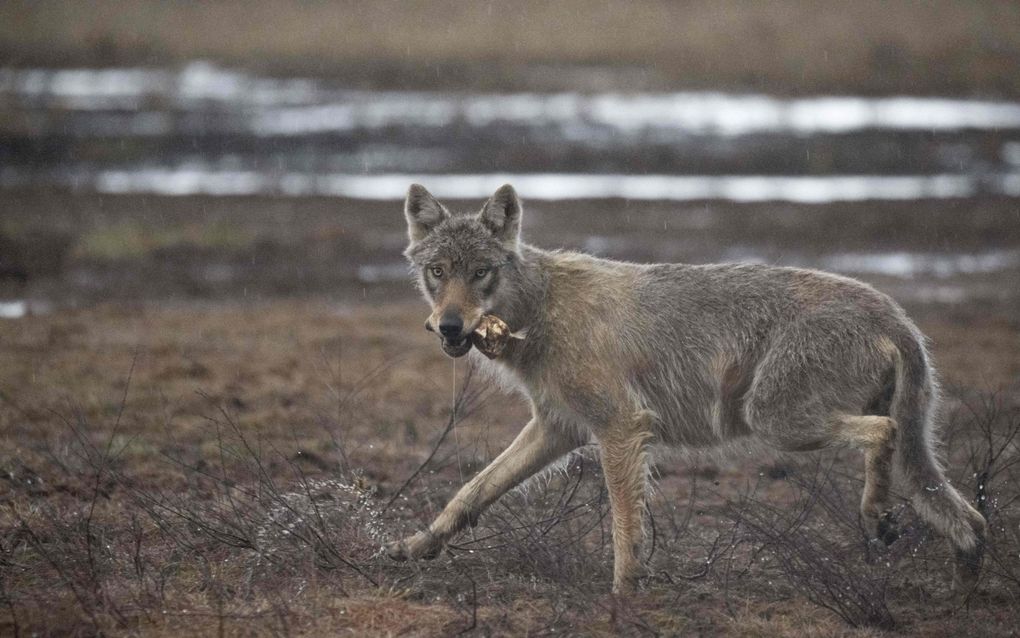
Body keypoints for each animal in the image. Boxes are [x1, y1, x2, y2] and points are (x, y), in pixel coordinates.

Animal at [381, 182, 979, 592]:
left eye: (480, 272)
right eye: (438, 271)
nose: (450, 326)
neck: (539, 310)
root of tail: (893, 312)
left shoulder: (621, 428)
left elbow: (625, 528)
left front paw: (623, 598)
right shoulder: (557, 430)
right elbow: (469, 493)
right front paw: (415, 546)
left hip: (778, 422)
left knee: (885, 430)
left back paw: (878, 517)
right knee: (969, 518)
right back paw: (962, 586)